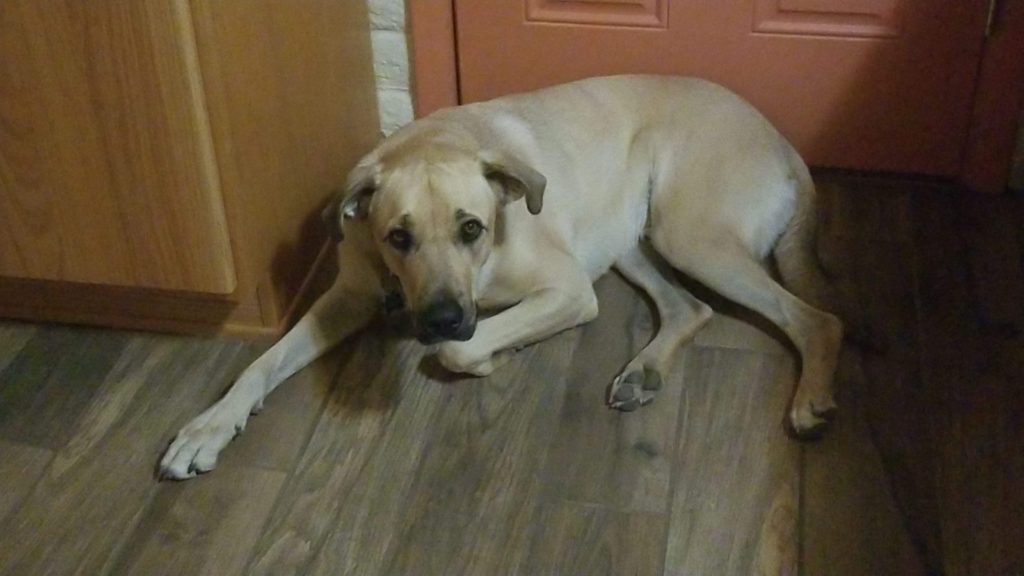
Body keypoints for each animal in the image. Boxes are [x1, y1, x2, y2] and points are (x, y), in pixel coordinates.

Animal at [161, 76, 847, 479]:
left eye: (472, 228)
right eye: (397, 238)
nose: (440, 316)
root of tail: (784, 143)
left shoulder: (567, 290)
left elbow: (458, 351)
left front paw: (487, 353)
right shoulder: (349, 296)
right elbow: (263, 363)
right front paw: (209, 425)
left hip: (688, 235)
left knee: (817, 318)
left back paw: (810, 399)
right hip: (630, 239)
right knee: (689, 309)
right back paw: (643, 371)